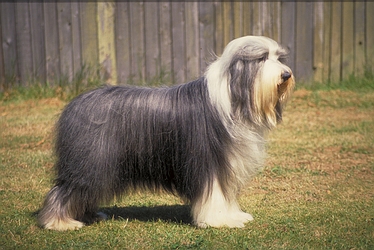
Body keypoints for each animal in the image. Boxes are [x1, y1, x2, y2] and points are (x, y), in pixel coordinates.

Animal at [38, 35, 296, 230]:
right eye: (262, 58)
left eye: (278, 57)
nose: (286, 74)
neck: (234, 97)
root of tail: (76, 102)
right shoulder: (209, 161)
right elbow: (215, 194)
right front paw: (219, 220)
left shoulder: (229, 165)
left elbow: (227, 194)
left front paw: (234, 215)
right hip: (92, 161)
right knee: (65, 190)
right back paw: (59, 222)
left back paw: (88, 215)